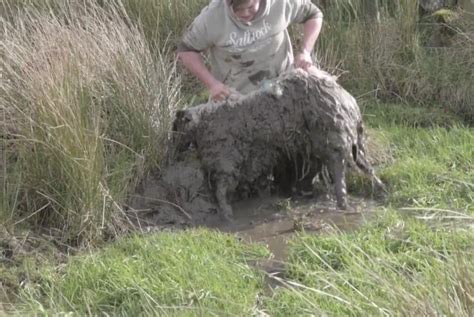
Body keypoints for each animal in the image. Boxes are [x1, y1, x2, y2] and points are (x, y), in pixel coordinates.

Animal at [172, 67, 384, 220]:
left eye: (176, 127)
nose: (173, 148)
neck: (205, 122)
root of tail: (351, 105)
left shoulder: (224, 159)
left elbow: (221, 189)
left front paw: (226, 214)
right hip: (340, 143)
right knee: (365, 167)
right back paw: (380, 190)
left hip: (333, 140)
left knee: (339, 171)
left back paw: (342, 203)